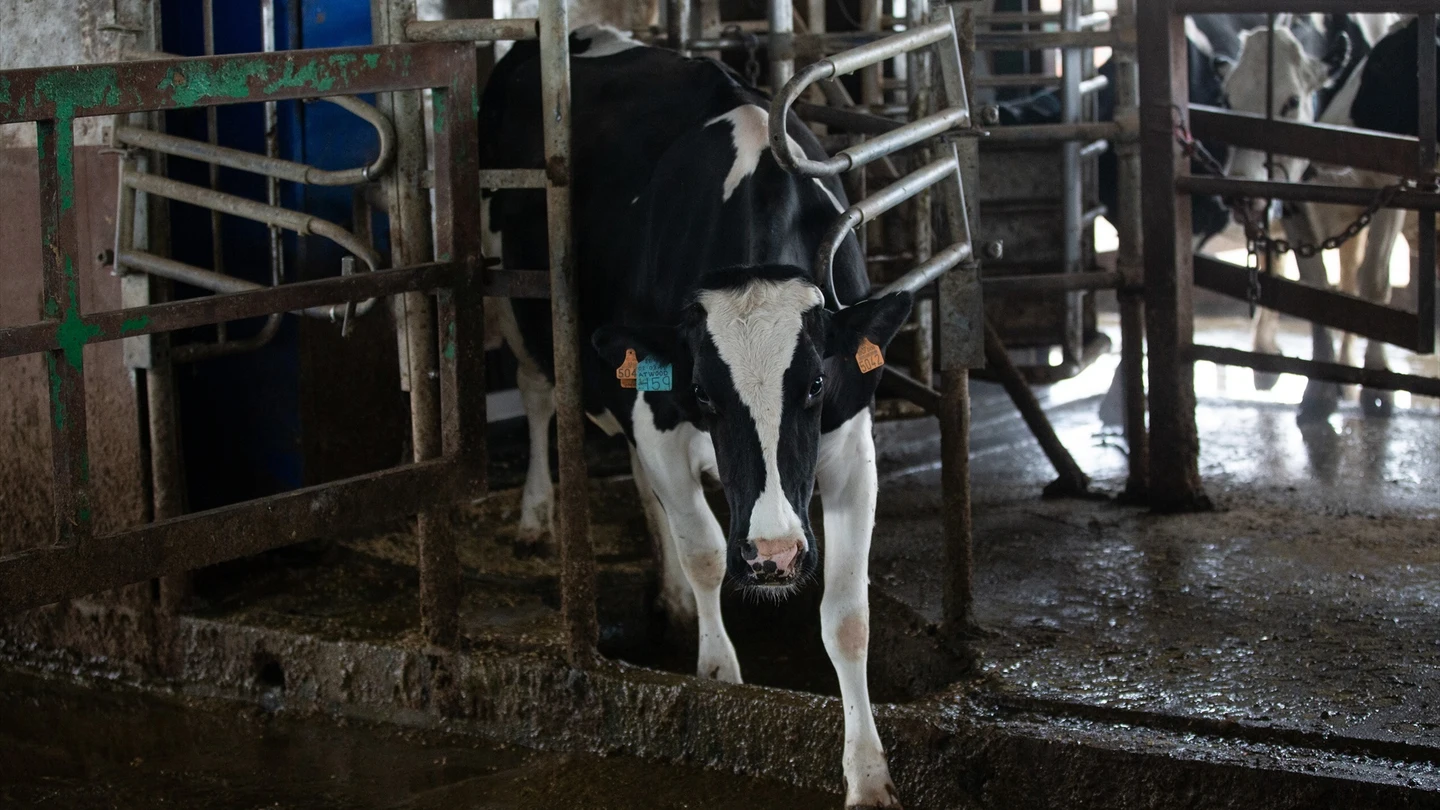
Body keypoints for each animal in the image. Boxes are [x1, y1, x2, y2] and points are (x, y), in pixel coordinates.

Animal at [478, 25, 914, 808]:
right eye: (707, 393)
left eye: (814, 384)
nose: (775, 555)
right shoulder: (660, 410)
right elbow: (708, 550)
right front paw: (721, 680)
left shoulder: (849, 441)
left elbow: (848, 618)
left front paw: (868, 775)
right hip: (519, 300)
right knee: (535, 396)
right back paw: (535, 516)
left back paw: (671, 594)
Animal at [1218, 14, 1410, 420]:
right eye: (1227, 100)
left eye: (1291, 100)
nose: (1239, 190)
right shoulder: (1293, 198)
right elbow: (1315, 287)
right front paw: (1319, 391)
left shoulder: (1391, 186)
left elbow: (1375, 283)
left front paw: (1377, 384)